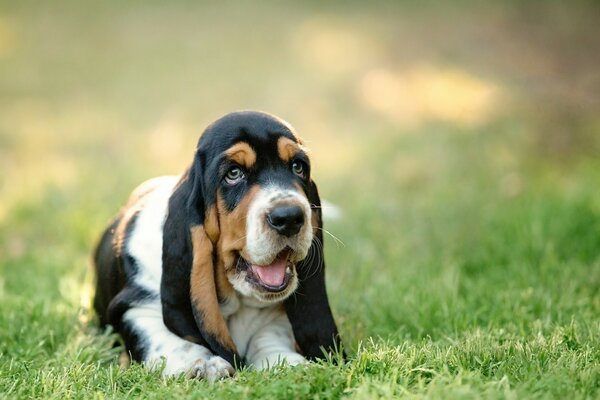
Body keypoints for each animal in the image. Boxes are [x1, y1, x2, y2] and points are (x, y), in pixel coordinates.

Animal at [93, 111, 342, 380]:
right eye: (233, 174)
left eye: (298, 167)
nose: (289, 217)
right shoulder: (135, 308)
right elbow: (167, 338)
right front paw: (202, 364)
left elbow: (269, 335)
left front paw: (285, 361)